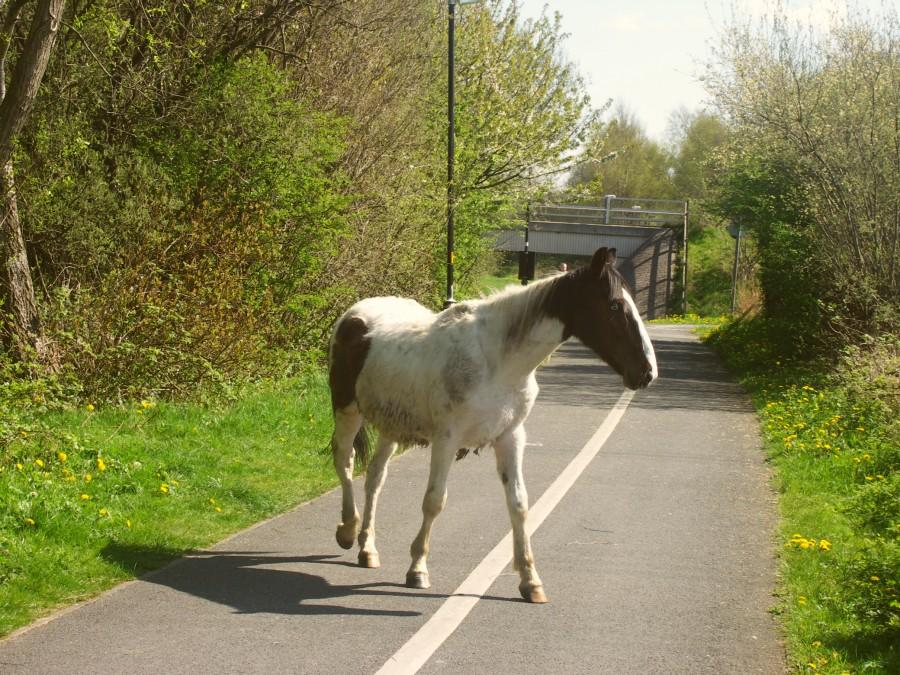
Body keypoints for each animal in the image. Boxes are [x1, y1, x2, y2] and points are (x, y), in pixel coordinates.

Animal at [327, 247, 657, 603]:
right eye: (614, 305)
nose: (647, 372)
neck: (497, 361)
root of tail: (354, 315)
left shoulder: (510, 438)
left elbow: (520, 504)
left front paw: (530, 580)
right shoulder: (446, 440)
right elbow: (434, 501)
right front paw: (417, 568)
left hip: (391, 426)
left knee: (375, 477)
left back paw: (367, 548)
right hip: (348, 411)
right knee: (345, 462)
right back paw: (347, 530)